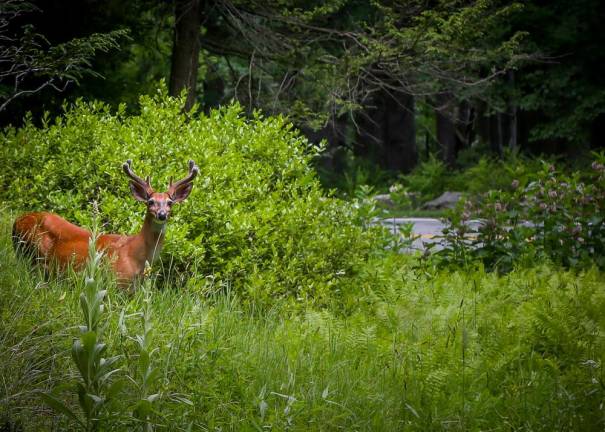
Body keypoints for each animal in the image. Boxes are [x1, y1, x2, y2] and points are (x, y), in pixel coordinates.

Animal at [11, 160, 199, 286]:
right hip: (32, 252)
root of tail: (17, 220)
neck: (137, 256)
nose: (161, 215)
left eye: (170, 203)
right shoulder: (117, 281)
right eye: (150, 202)